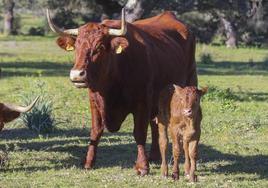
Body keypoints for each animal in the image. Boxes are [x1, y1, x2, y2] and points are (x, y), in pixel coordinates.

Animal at [45, 8, 197, 176]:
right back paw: (154, 156)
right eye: (77, 46)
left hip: (189, 82)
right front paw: (88, 162)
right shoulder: (94, 101)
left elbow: (139, 133)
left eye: (99, 47)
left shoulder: (142, 102)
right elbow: (95, 131)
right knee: (155, 124)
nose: (77, 74)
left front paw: (142, 166)